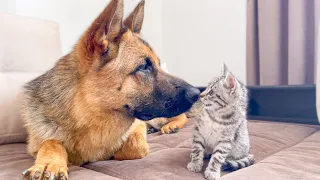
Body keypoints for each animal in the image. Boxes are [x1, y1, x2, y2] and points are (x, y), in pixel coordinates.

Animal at [21, 0, 199, 179]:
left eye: (159, 65)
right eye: (143, 67)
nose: (197, 93)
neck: (86, 113)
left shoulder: (136, 127)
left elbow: (136, 146)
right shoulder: (36, 144)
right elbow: (51, 142)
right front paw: (50, 163)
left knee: (182, 116)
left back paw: (171, 126)